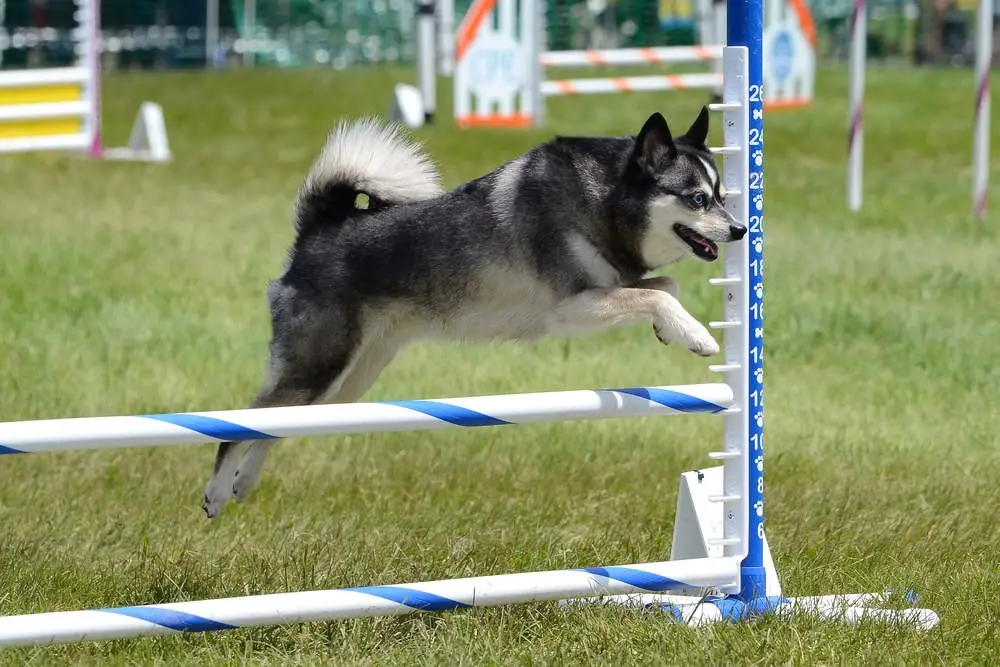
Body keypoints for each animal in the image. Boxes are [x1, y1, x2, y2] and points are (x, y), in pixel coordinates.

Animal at [203, 107, 748, 520]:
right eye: (698, 199)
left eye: (724, 196)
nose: (740, 230)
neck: (605, 200)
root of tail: (319, 229)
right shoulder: (570, 308)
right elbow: (659, 293)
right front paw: (697, 335)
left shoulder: (608, 289)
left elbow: (665, 287)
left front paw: (671, 331)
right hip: (320, 365)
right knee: (241, 423)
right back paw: (217, 492)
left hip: (346, 382)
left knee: (277, 425)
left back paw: (244, 484)